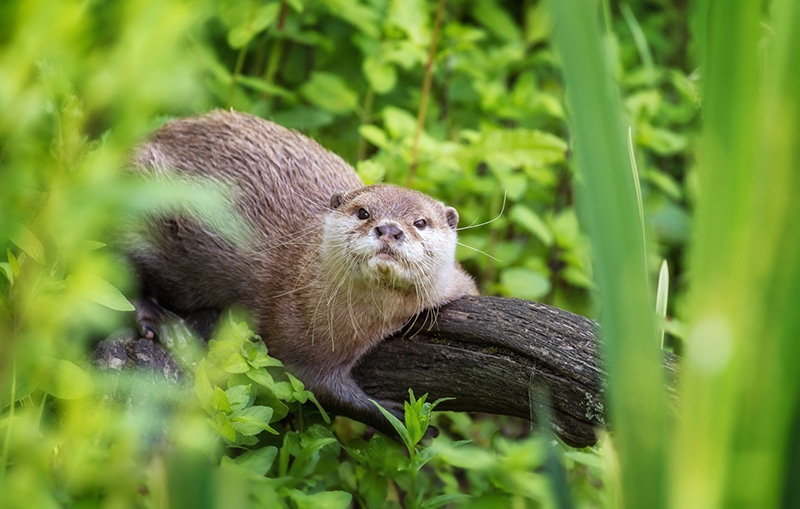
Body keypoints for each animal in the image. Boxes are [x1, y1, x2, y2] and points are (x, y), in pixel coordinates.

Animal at [126, 110, 477, 434]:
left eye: (420, 222)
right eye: (363, 212)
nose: (389, 229)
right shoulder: (297, 328)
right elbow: (316, 385)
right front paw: (394, 417)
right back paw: (164, 322)